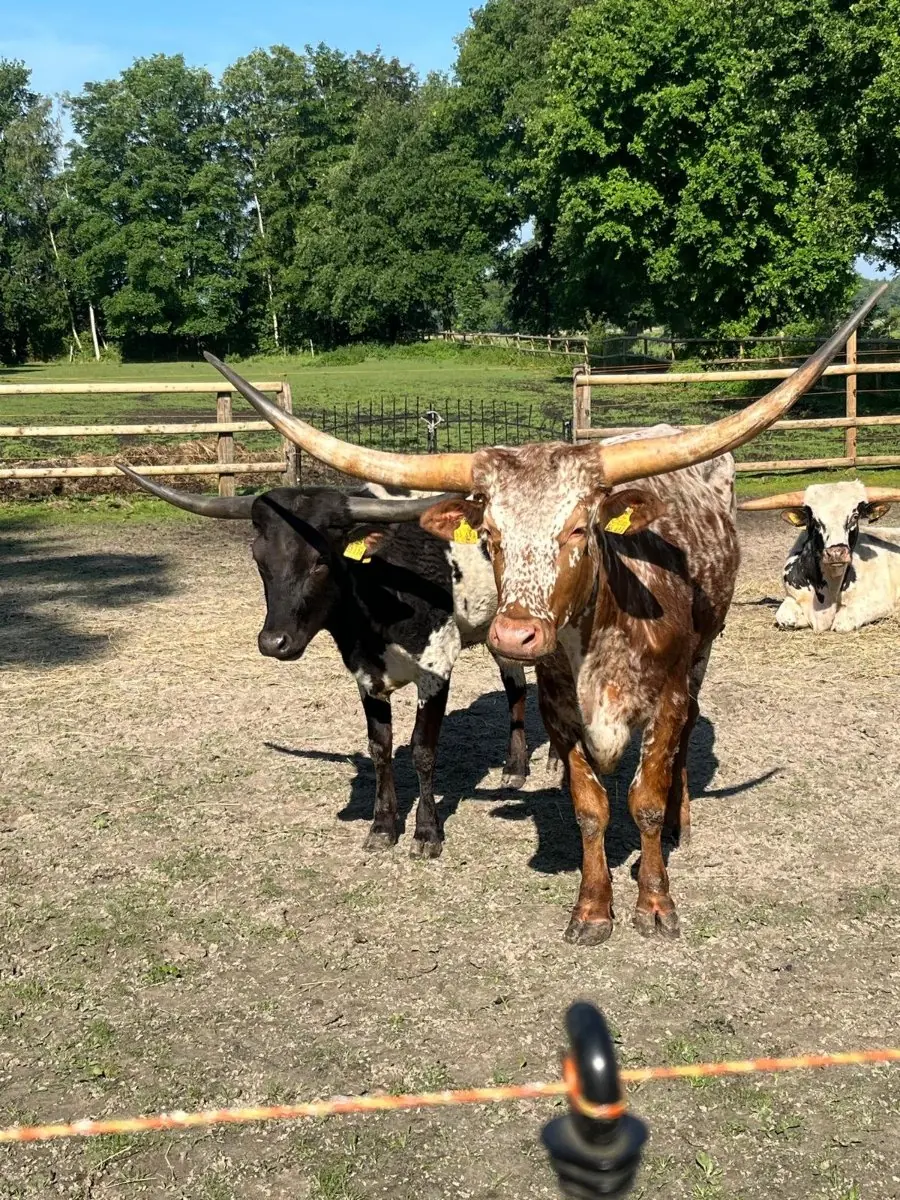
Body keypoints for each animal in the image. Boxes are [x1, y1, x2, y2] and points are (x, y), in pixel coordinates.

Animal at [119, 466, 543, 859]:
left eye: (320, 561)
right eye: (259, 559)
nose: (274, 643)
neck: (381, 591)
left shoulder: (436, 667)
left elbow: (423, 750)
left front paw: (426, 834)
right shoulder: (365, 673)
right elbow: (379, 747)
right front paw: (382, 826)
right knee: (515, 685)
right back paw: (515, 766)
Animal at [201, 287, 883, 945]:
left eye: (581, 527)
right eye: (490, 534)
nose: (516, 632)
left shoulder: (659, 700)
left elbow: (645, 800)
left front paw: (655, 903)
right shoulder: (554, 708)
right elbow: (588, 806)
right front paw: (592, 909)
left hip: (701, 657)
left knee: (686, 742)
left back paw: (682, 820)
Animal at [739, 482, 900, 632]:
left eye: (855, 517)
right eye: (815, 520)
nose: (836, 553)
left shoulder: (879, 603)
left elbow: (842, 623)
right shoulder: (791, 598)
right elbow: (784, 618)